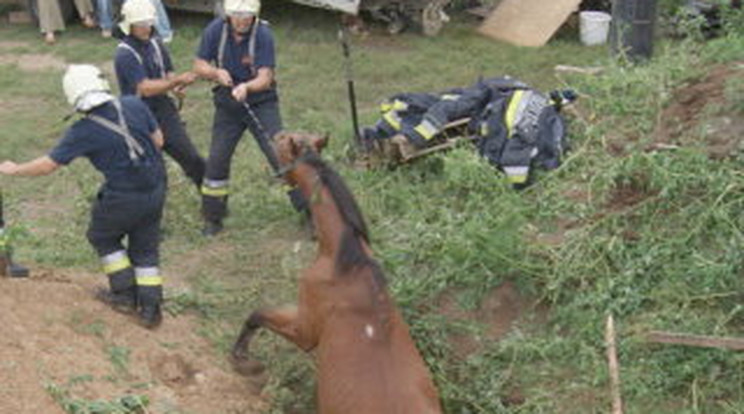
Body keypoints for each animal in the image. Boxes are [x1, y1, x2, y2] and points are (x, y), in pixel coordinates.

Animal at [232, 131, 442, 412]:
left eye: (283, 141)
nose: (272, 134)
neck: (346, 262)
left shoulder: (304, 330)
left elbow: (257, 314)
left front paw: (242, 359)